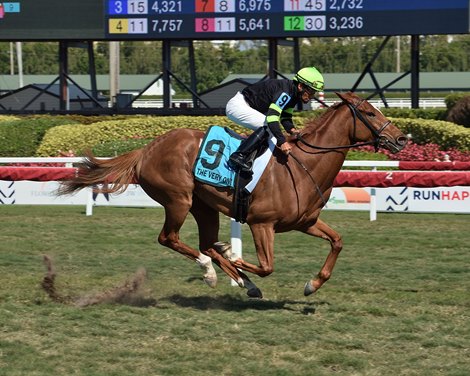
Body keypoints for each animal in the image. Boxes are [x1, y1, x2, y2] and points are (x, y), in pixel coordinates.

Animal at [58, 92, 408, 298]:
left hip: (204, 206)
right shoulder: (261, 223)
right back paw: (214, 271)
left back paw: (231, 272)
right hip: (178, 199)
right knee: (171, 239)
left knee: (203, 242)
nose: (402, 138)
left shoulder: (305, 222)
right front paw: (236, 260)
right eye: (371, 113)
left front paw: (312, 285)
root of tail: (147, 148)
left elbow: (337, 241)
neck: (303, 164)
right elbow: (266, 266)